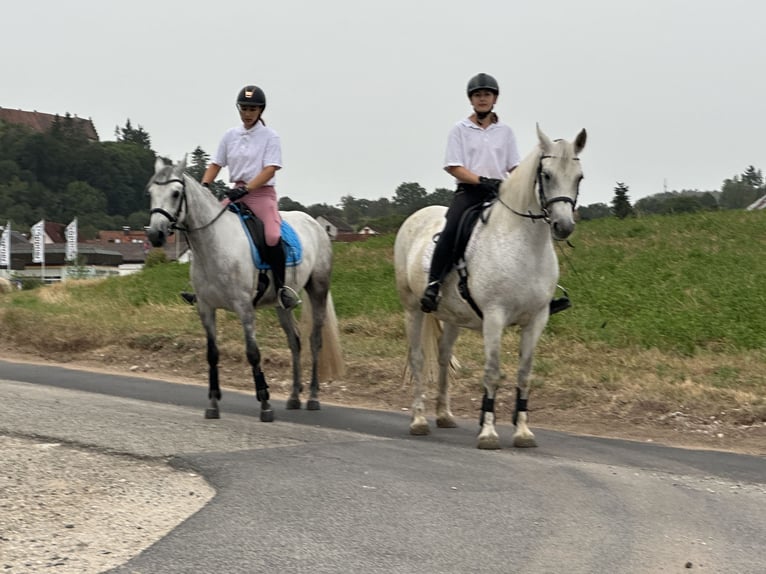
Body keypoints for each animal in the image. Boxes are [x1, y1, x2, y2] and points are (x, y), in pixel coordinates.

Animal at [147, 158, 344, 424]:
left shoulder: (244, 308)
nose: (154, 234)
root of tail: (316, 224)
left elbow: (253, 353)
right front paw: (213, 404)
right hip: (282, 305)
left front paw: (265, 403)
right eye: (151, 192)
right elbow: (212, 354)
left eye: (176, 193)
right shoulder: (205, 308)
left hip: (318, 290)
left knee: (315, 340)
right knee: (295, 341)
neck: (214, 244)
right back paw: (294, 396)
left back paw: (313, 397)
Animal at [396, 125, 588, 450]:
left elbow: (524, 374)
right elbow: (493, 372)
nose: (563, 226)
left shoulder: (537, 319)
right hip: (413, 309)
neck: (524, 245)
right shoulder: (495, 317)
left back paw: (444, 415)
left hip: (452, 318)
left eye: (579, 176)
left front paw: (523, 432)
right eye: (546, 175)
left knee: (444, 357)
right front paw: (487, 432)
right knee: (418, 358)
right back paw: (419, 420)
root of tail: (417, 215)